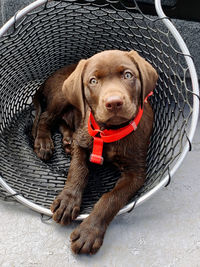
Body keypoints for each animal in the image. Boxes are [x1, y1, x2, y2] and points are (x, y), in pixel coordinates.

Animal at [32, 49, 158, 255]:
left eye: (128, 75)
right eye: (93, 81)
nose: (114, 103)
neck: (109, 131)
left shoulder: (136, 172)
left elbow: (111, 198)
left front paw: (88, 233)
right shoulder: (83, 143)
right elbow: (78, 170)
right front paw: (67, 201)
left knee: (62, 122)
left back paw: (67, 141)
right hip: (61, 97)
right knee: (45, 118)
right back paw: (43, 142)